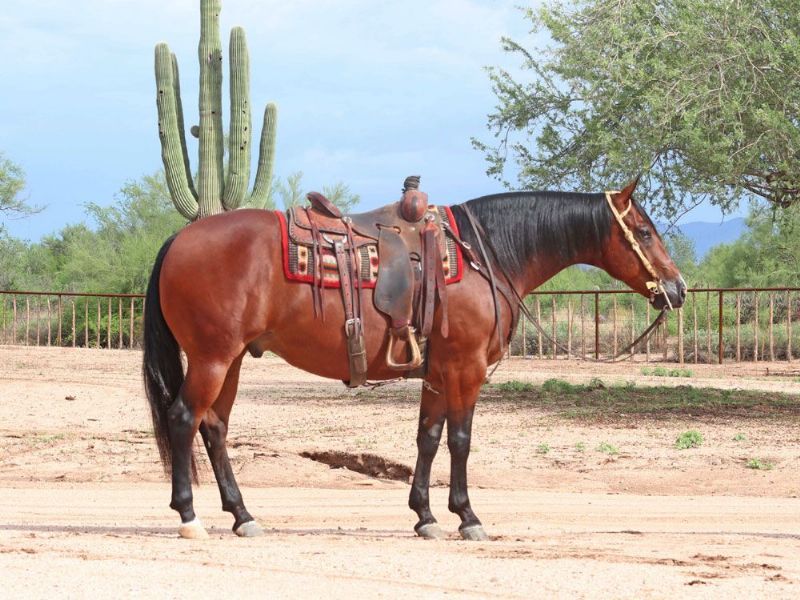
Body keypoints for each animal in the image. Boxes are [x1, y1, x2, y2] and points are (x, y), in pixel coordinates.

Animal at [142, 178, 686, 540]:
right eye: (643, 230)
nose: (677, 288)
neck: (486, 254)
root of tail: (179, 239)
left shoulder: (439, 372)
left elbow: (428, 437)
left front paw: (425, 516)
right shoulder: (466, 368)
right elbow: (461, 441)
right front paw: (468, 517)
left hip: (230, 359)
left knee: (214, 428)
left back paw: (243, 516)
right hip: (213, 358)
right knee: (184, 418)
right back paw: (189, 517)